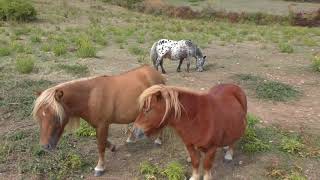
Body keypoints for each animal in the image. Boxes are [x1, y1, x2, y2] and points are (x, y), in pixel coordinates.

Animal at [32, 65, 165, 176]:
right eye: (39, 116)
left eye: (56, 116)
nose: (45, 146)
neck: (90, 97)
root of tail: (156, 73)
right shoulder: (97, 125)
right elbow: (104, 142)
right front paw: (113, 147)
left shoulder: (102, 125)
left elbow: (100, 145)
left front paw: (100, 167)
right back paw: (132, 138)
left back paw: (158, 140)